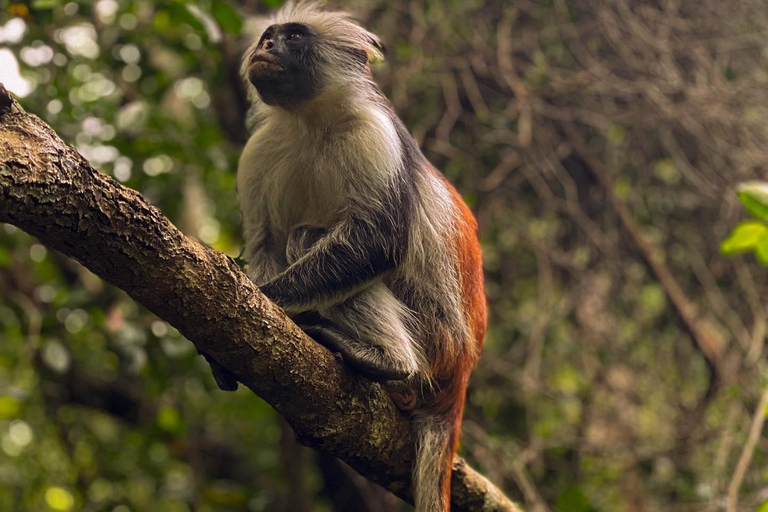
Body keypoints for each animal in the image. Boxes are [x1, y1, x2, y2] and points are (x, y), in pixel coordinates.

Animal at [231, 2, 486, 510]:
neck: (310, 122)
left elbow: (378, 241)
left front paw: (270, 298)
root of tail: (463, 367)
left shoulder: (374, 133)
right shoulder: (258, 153)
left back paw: (388, 361)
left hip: (435, 341)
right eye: (269, 36)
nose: (267, 46)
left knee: (308, 238)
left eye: (293, 36)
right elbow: (265, 243)